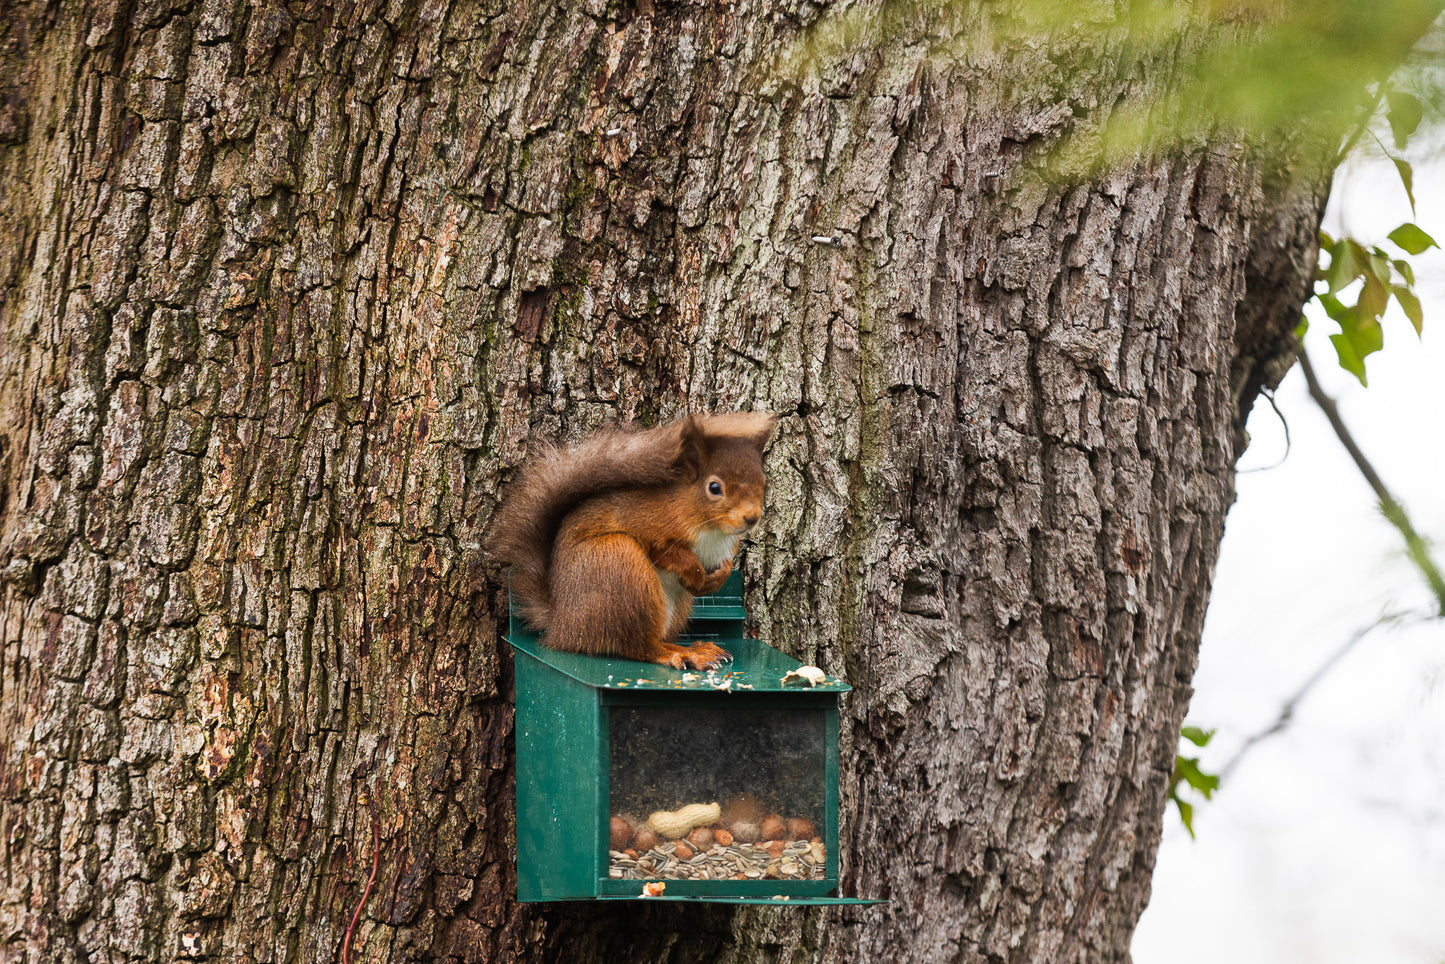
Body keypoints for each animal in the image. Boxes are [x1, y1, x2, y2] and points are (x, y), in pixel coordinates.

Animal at [488, 412, 776, 670]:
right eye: (714, 488)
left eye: (763, 481)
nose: (752, 518)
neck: (712, 529)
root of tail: (562, 625)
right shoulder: (646, 524)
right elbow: (667, 553)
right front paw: (695, 573)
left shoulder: (727, 544)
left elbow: (727, 561)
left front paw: (720, 577)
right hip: (622, 568)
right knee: (640, 648)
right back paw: (682, 655)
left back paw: (696, 649)